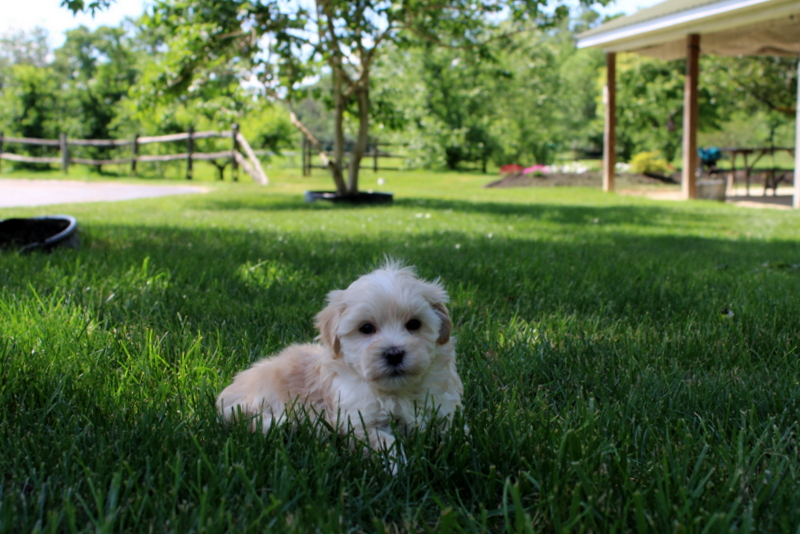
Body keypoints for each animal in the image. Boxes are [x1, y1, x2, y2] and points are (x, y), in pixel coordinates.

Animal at [216, 262, 462, 460]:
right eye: (366, 328)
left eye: (414, 324)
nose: (394, 354)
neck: (396, 391)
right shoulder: (356, 419)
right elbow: (383, 441)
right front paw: (397, 466)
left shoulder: (442, 410)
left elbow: (456, 430)